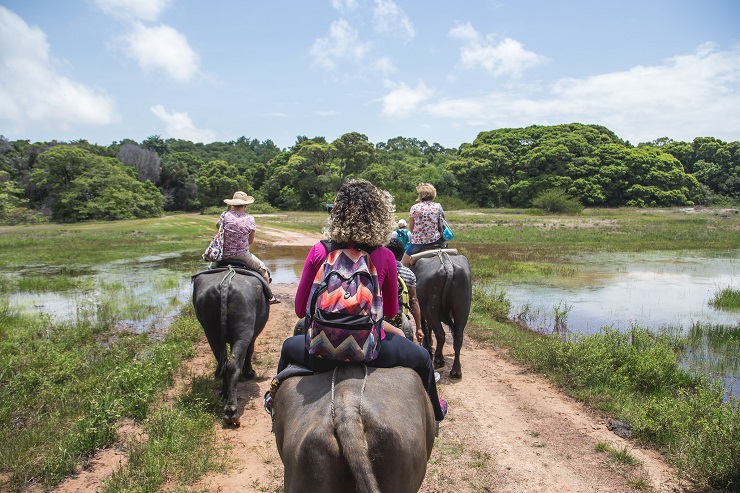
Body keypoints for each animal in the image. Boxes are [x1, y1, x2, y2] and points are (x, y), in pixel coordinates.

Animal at [192, 268, 270, 424]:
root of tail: (226, 284)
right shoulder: (252, 334)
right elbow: (250, 351)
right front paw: (249, 372)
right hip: (243, 332)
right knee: (233, 364)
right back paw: (232, 411)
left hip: (211, 333)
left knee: (223, 363)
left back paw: (224, 393)